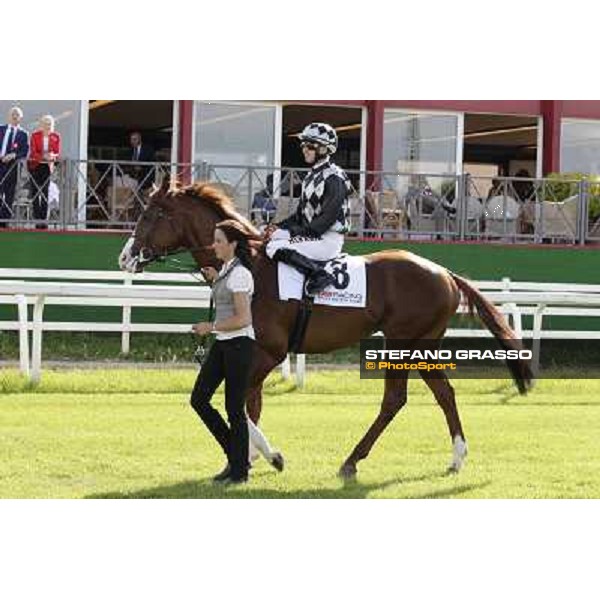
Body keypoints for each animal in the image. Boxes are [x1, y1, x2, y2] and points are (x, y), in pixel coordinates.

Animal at [118, 183, 536, 478]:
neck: (249, 265)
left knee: (395, 399)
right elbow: (250, 403)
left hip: (402, 344)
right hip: (422, 345)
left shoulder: (269, 352)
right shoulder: (255, 353)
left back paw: (352, 460)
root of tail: (445, 273)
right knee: (443, 393)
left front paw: (269, 456)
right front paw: (247, 457)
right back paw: (456, 458)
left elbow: (239, 402)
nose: (125, 257)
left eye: (152, 214)